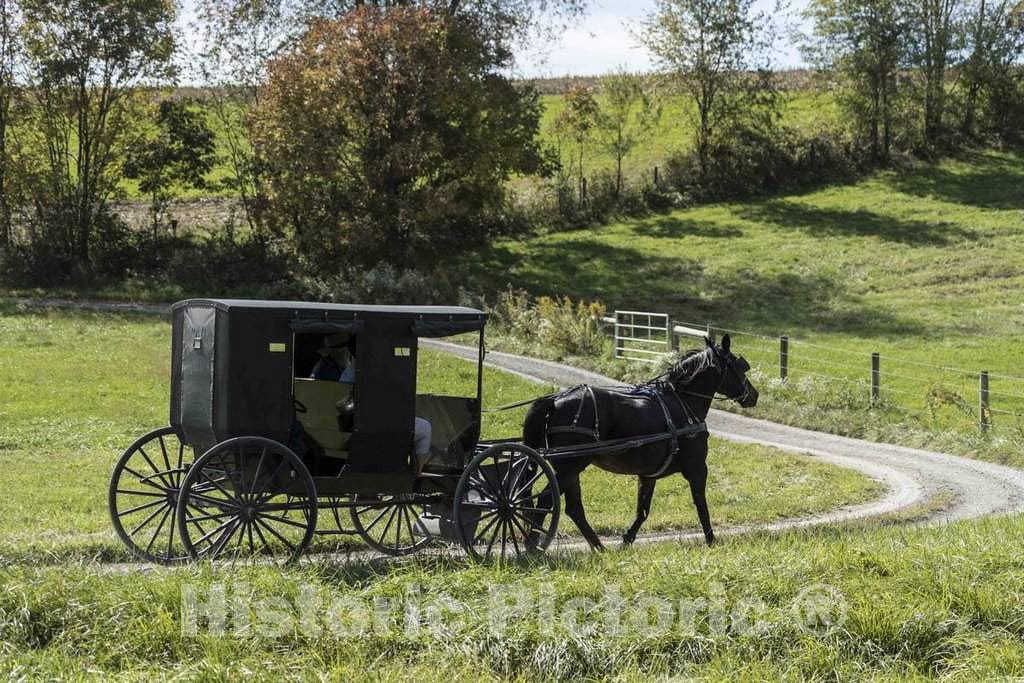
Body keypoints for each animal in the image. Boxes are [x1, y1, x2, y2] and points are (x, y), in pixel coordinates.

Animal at [522, 334, 758, 550]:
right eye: (739, 367)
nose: (754, 396)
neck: (683, 403)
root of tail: (554, 401)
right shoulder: (697, 468)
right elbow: (701, 504)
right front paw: (711, 541)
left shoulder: (648, 475)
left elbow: (643, 510)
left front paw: (627, 540)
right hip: (570, 465)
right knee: (546, 501)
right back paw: (533, 546)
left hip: (572, 467)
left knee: (573, 508)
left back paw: (599, 549)